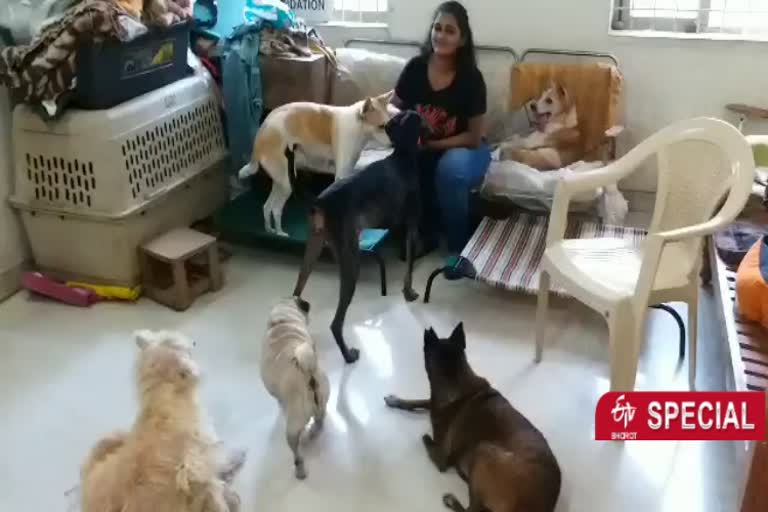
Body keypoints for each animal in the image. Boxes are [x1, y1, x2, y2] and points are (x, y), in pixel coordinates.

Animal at [260, 296, 330, 480]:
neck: (282, 321)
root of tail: (307, 372)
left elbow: (279, 401)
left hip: (291, 429)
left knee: (297, 455)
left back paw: (300, 470)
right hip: (322, 402)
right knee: (320, 421)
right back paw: (312, 433)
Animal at [292, 109, 432, 364]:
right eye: (421, 117)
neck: (402, 156)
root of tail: (320, 201)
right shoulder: (412, 227)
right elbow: (408, 266)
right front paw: (408, 293)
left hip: (314, 246)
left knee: (297, 288)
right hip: (350, 258)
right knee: (336, 324)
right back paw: (348, 355)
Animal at [388, 324, 560, 512]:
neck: (454, 376)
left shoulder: (441, 453)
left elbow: (427, 439)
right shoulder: (432, 404)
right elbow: (420, 401)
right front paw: (395, 400)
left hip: (483, 450)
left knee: (472, 510)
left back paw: (452, 500)